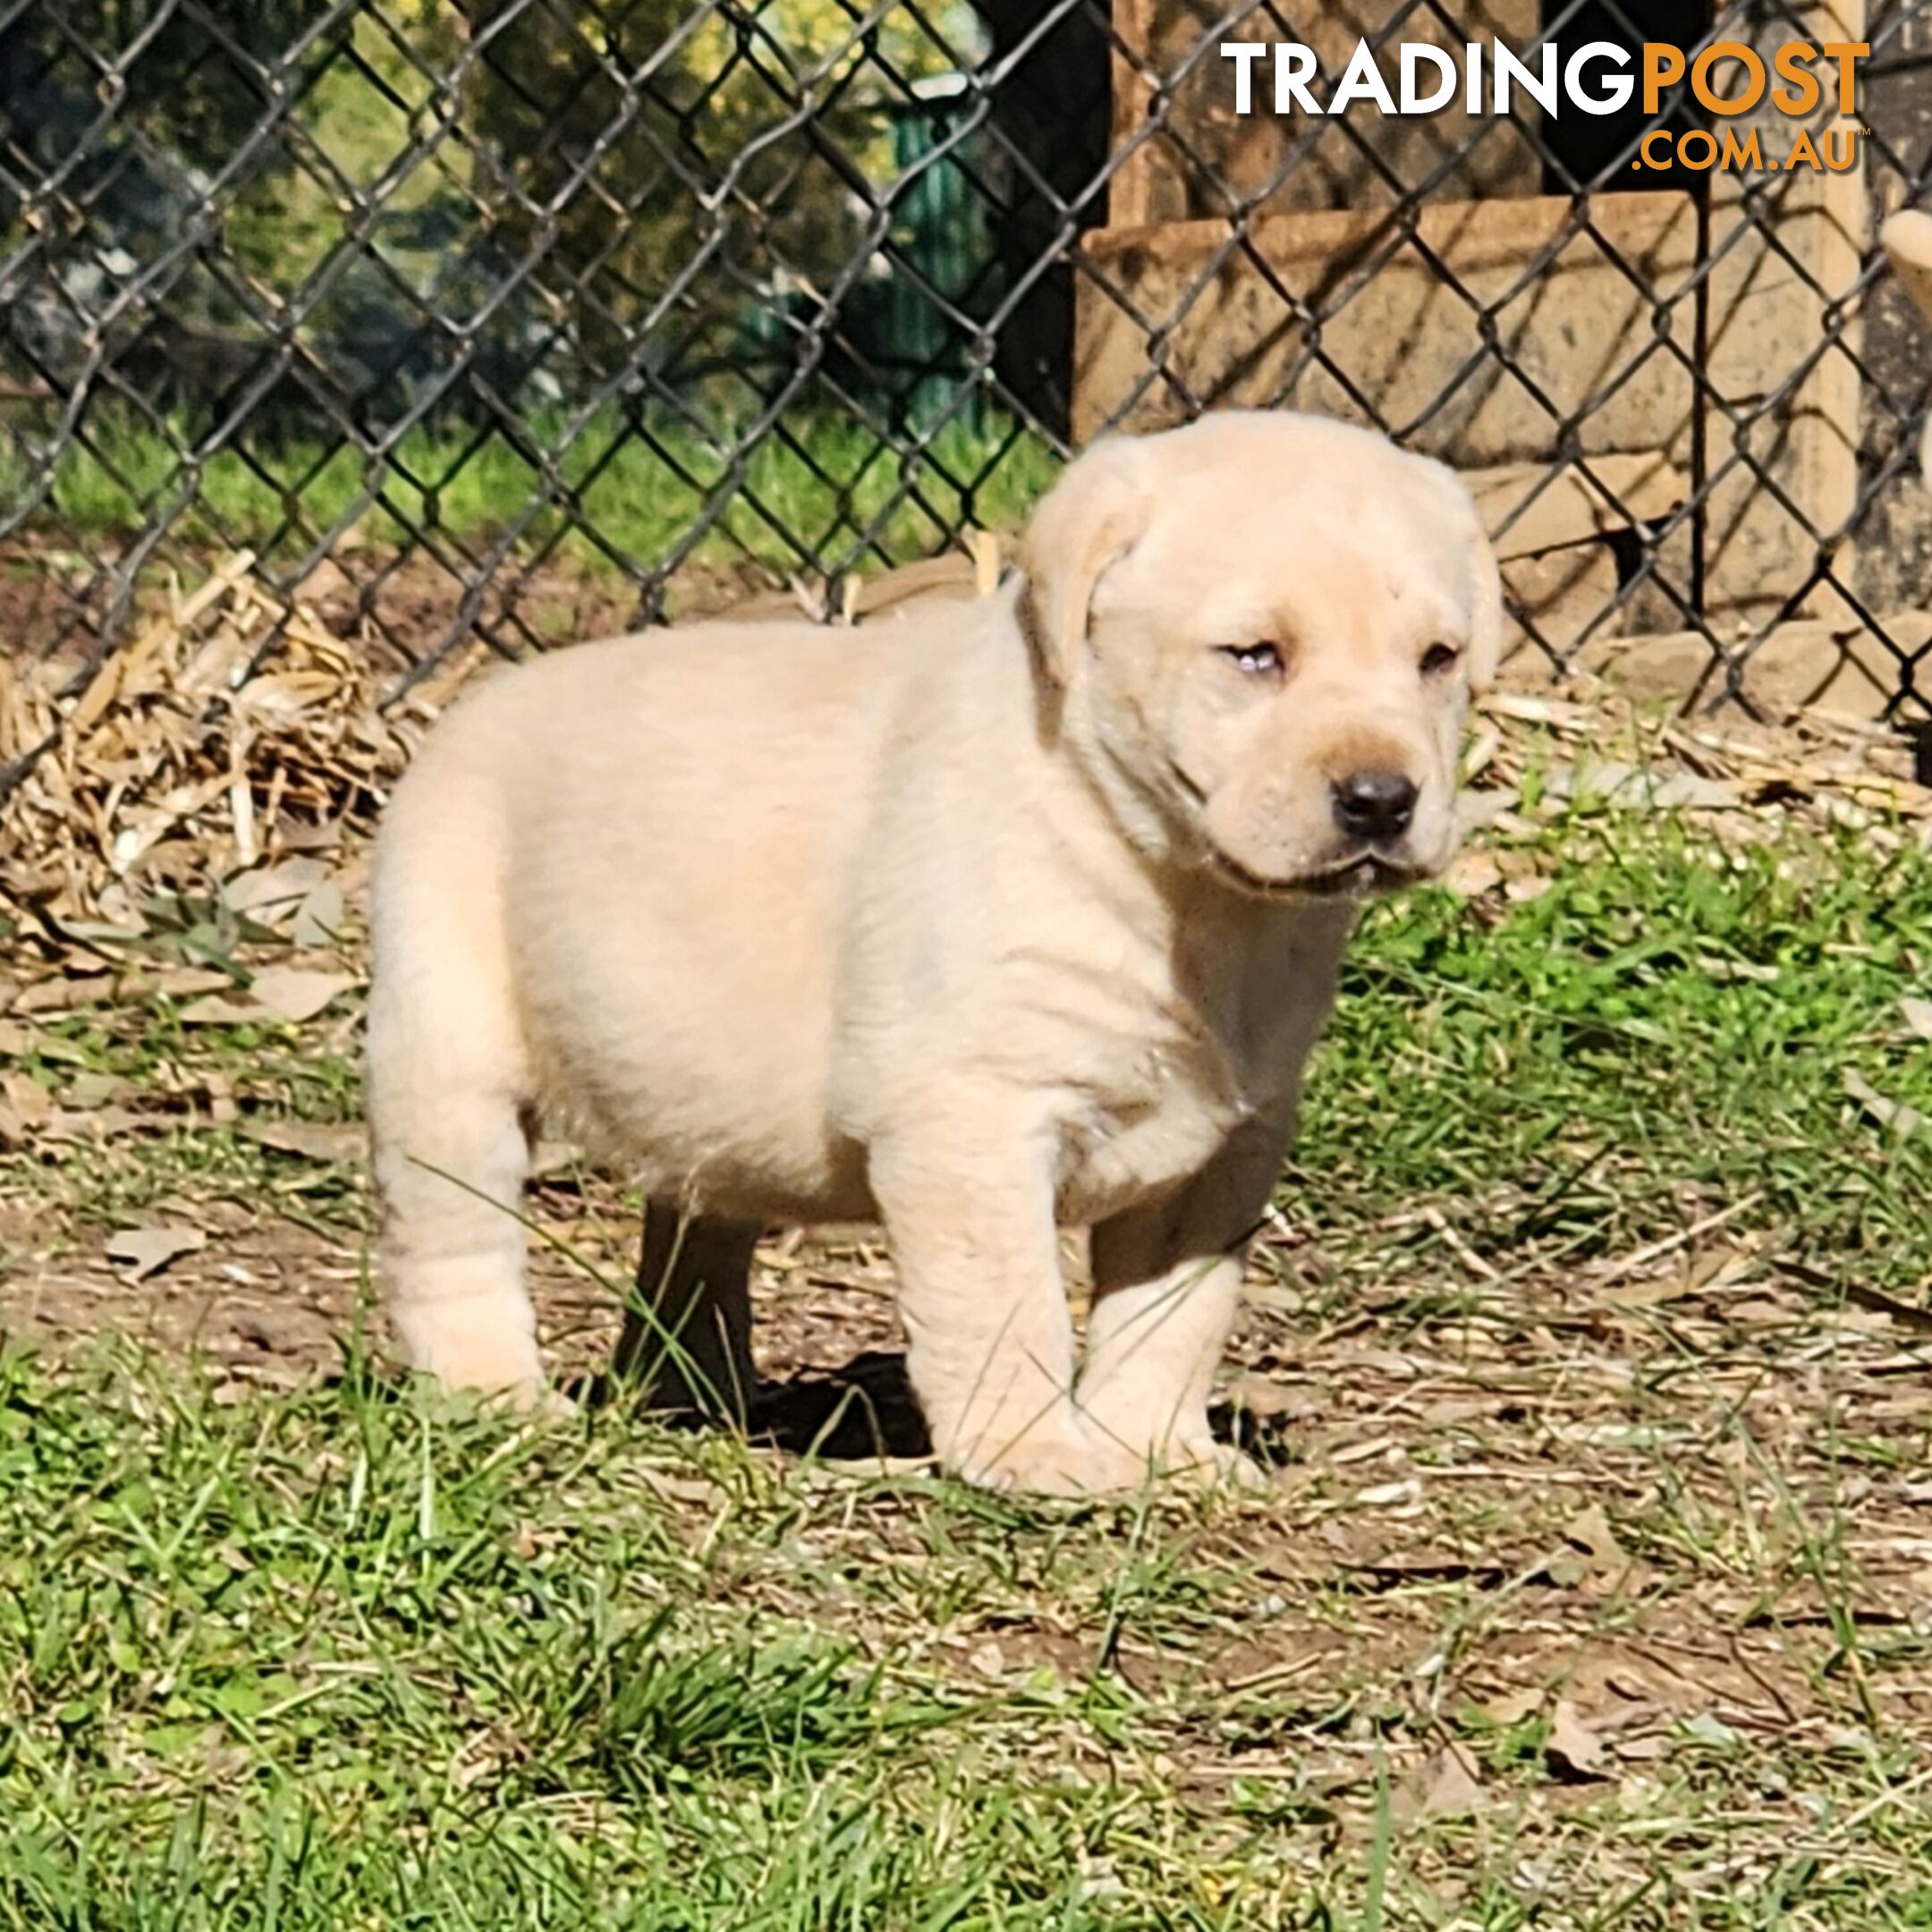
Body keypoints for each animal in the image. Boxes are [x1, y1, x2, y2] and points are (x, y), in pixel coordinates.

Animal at [365, 407, 1506, 1491]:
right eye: (1256, 655)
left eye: (1438, 661)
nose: (1382, 799)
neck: (1186, 893)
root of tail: (463, 709)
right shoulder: (972, 1114)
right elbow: (1008, 1303)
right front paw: (1034, 1453)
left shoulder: (1226, 1146)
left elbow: (1174, 1319)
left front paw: (1158, 1450)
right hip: (445, 1050)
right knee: (455, 1241)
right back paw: (494, 1395)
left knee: (696, 1231)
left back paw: (694, 1390)